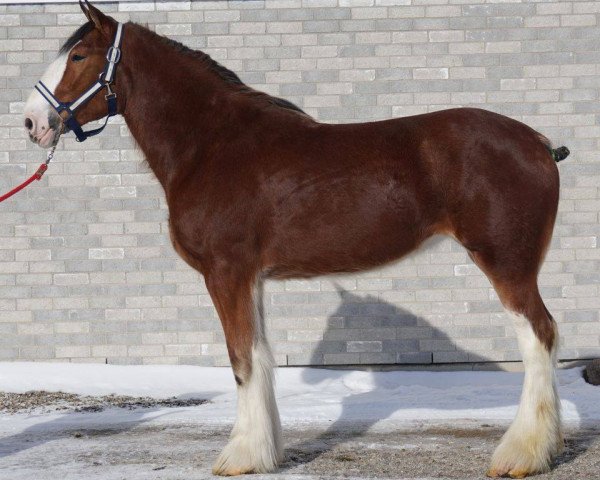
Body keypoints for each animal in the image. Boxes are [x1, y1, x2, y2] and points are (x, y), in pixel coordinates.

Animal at [22, 1, 572, 478]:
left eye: (78, 55)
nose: (31, 122)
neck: (211, 145)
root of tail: (538, 142)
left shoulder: (226, 273)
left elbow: (240, 359)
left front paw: (240, 457)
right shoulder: (251, 279)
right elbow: (259, 355)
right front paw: (266, 452)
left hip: (506, 263)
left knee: (538, 337)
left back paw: (521, 455)